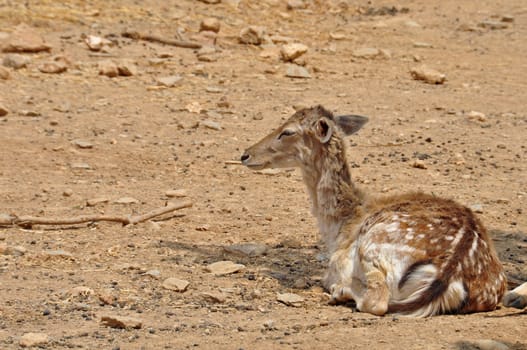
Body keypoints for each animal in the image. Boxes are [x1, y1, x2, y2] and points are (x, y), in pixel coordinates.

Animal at [241, 105, 524, 316]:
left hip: (374, 246)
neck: (339, 226)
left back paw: (341, 292)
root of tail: (451, 271)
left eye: (287, 131)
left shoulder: (337, 261)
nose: (245, 154)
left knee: (376, 302)